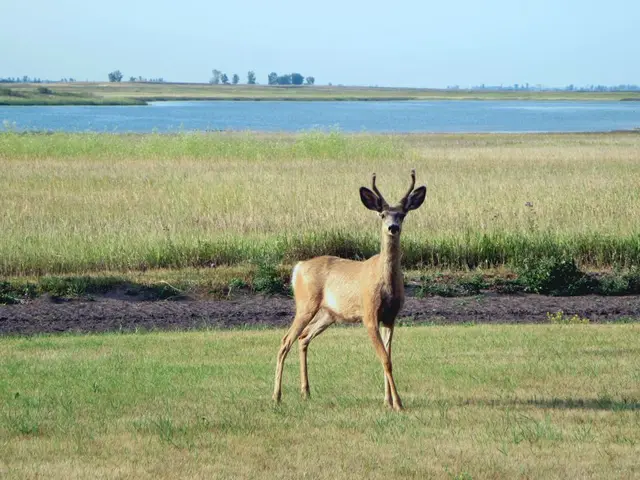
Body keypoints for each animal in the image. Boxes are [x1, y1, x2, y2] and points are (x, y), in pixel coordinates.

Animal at [272, 170, 427, 411]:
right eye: (382, 214)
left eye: (402, 215)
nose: (393, 227)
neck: (385, 282)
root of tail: (298, 268)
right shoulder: (369, 314)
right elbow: (385, 359)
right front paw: (398, 404)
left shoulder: (391, 316)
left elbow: (389, 357)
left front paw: (387, 401)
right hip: (306, 304)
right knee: (285, 340)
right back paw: (276, 396)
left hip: (329, 314)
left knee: (303, 338)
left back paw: (306, 392)